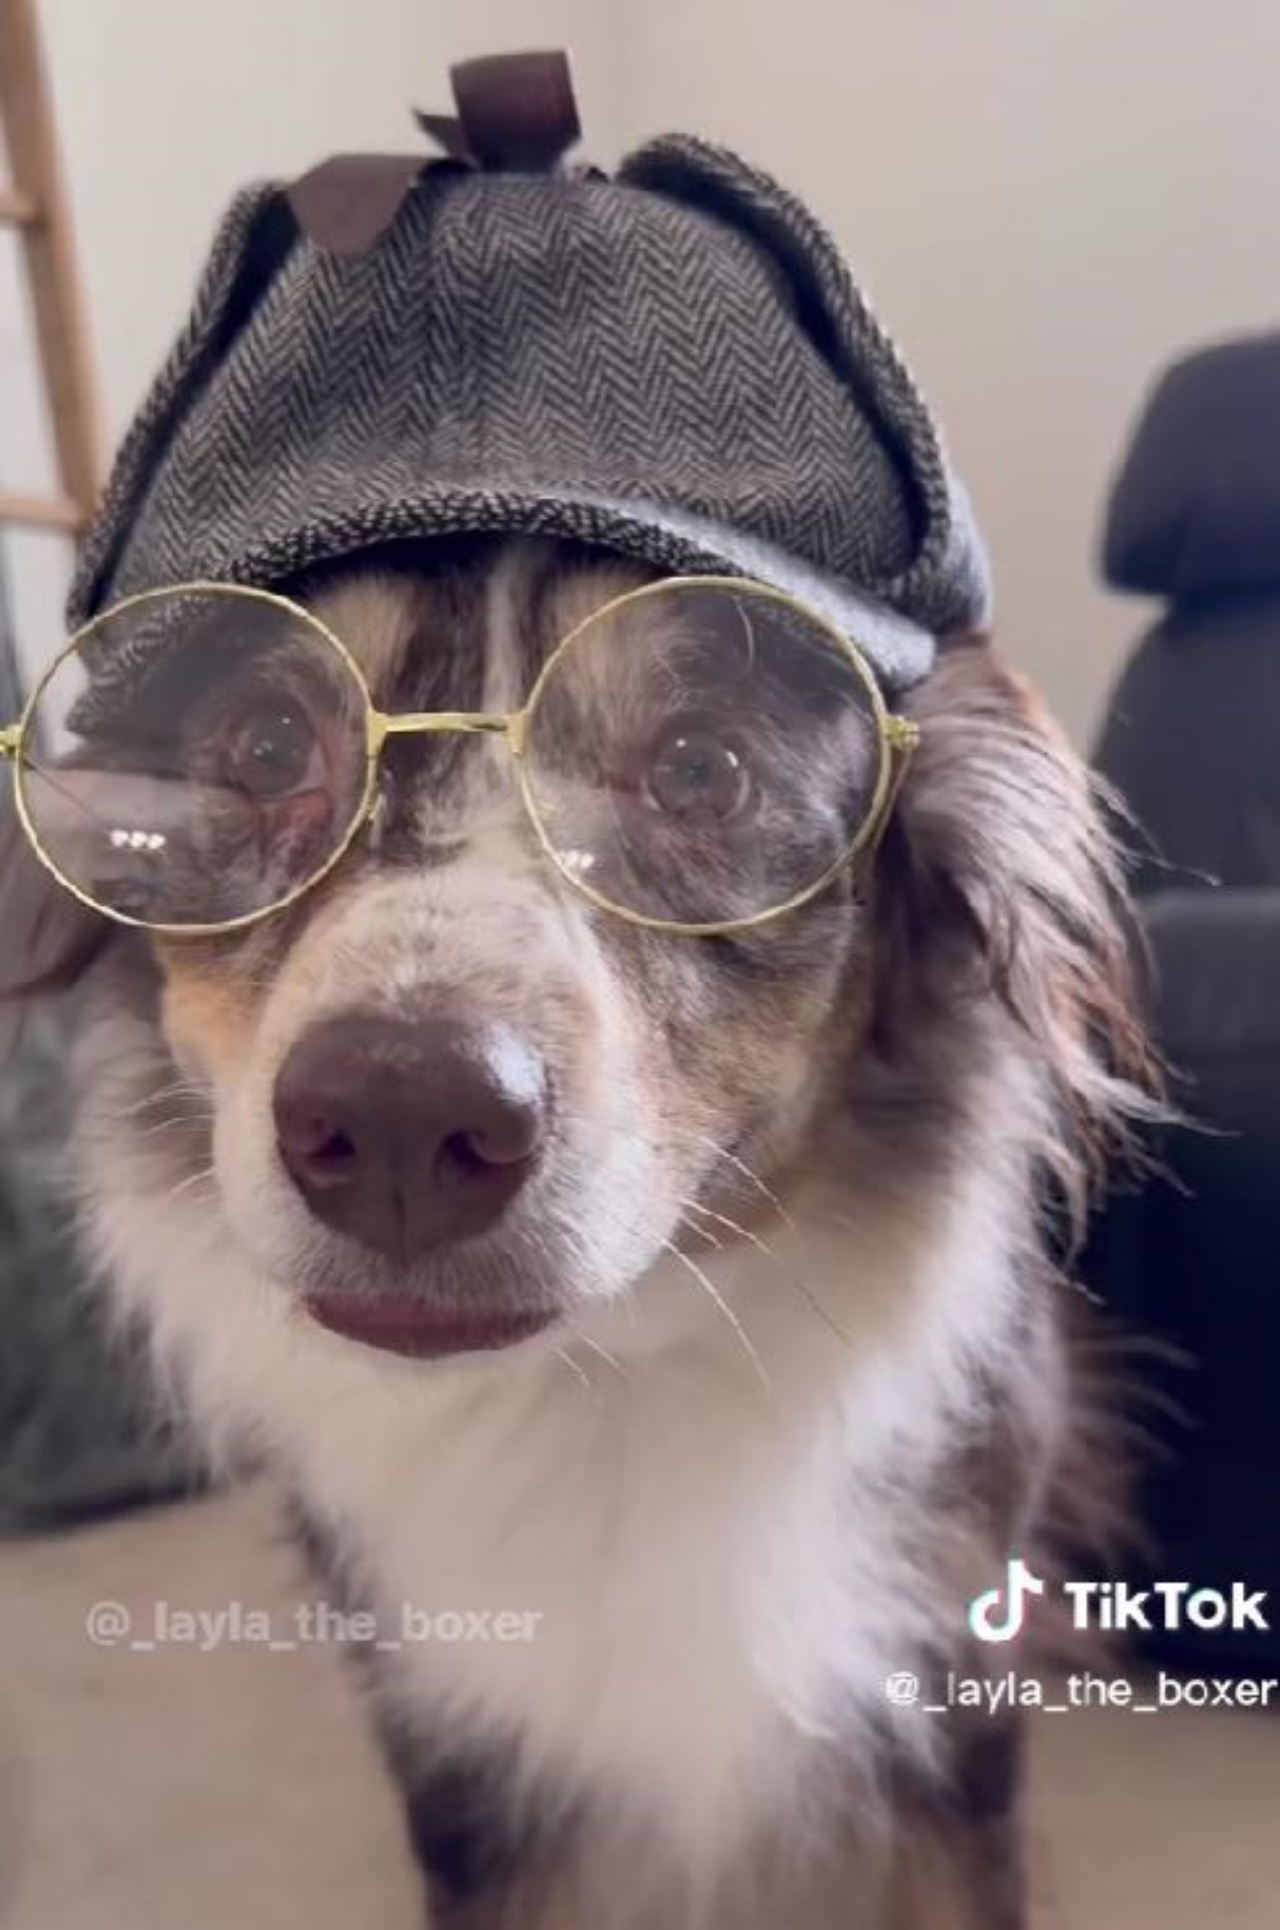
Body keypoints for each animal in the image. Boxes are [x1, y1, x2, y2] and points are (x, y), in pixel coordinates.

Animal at [0, 540, 1142, 1930]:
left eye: (701, 769)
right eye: (267, 746)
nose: (397, 1116)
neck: (596, 1386)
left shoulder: (944, 1697)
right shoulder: (459, 1757)